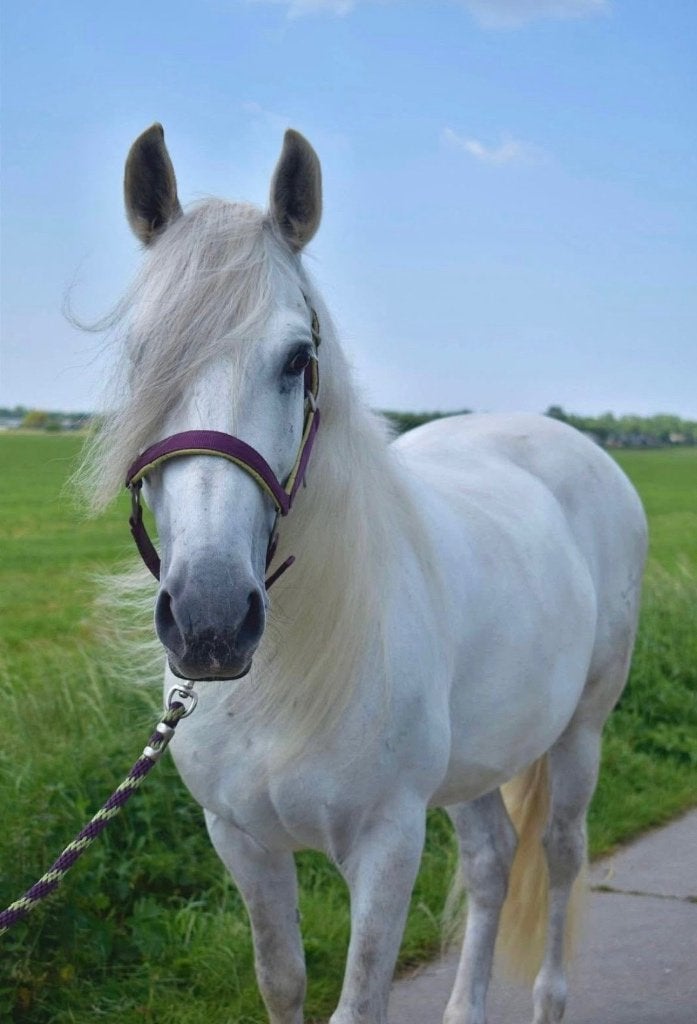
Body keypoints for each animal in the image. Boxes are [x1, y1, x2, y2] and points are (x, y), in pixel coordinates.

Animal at [82, 123, 647, 1024]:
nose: (210, 620)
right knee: (492, 861)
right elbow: (281, 982)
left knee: (559, 854)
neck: (284, 680)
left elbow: (358, 1002)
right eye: (140, 358)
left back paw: (548, 997)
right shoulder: (241, 842)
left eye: (296, 359)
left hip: (579, 733)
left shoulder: (387, 845)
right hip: (477, 759)